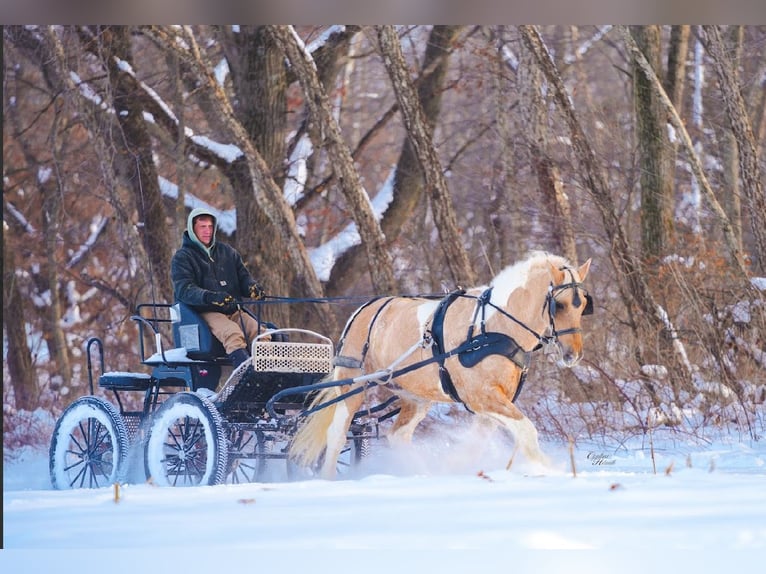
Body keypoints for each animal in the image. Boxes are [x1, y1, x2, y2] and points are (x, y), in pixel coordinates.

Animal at [288, 251, 593, 479]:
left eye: (582, 305)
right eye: (559, 305)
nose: (573, 355)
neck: (494, 327)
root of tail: (363, 310)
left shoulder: (493, 401)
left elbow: (483, 441)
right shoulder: (482, 397)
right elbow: (527, 431)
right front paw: (556, 470)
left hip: (416, 397)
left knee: (398, 435)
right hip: (353, 385)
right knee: (337, 435)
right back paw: (329, 479)